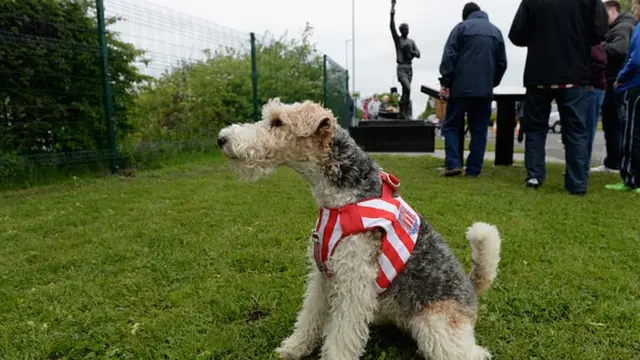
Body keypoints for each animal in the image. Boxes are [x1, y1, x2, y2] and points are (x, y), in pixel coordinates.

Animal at [218, 99, 502, 360]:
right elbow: (309, 316)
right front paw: (294, 348)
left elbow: (341, 336)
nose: (222, 139)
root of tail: (470, 287)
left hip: (436, 326)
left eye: (277, 122)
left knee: (473, 352)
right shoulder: (323, 277)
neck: (343, 200)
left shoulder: (354, 282)